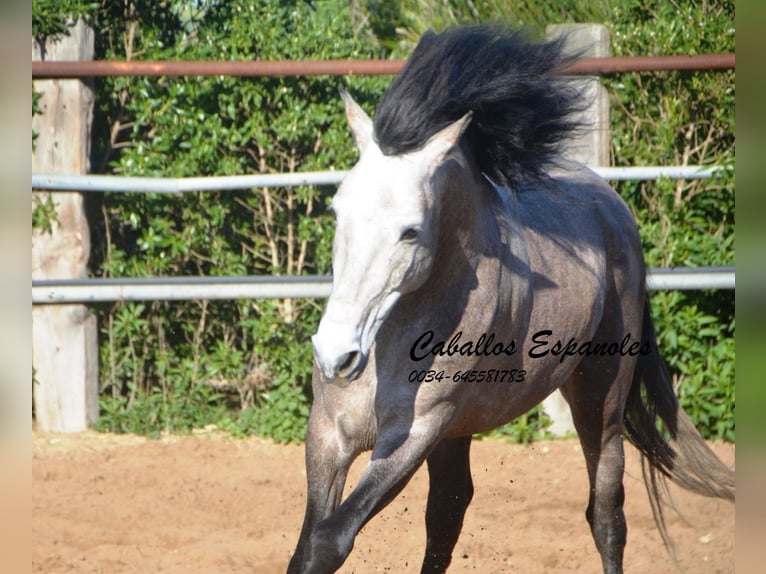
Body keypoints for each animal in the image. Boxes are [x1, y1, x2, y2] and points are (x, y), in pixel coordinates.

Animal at [288, 25, 736, 574]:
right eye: (337, 211)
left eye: (410, 232)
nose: (337, 356)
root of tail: (611, 206)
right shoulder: (327, 435)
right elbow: (308, 545)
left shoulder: (413, 434)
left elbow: (328, 541)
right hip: (459, 431)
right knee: (448, 511)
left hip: (600, 404)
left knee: (607, 515)